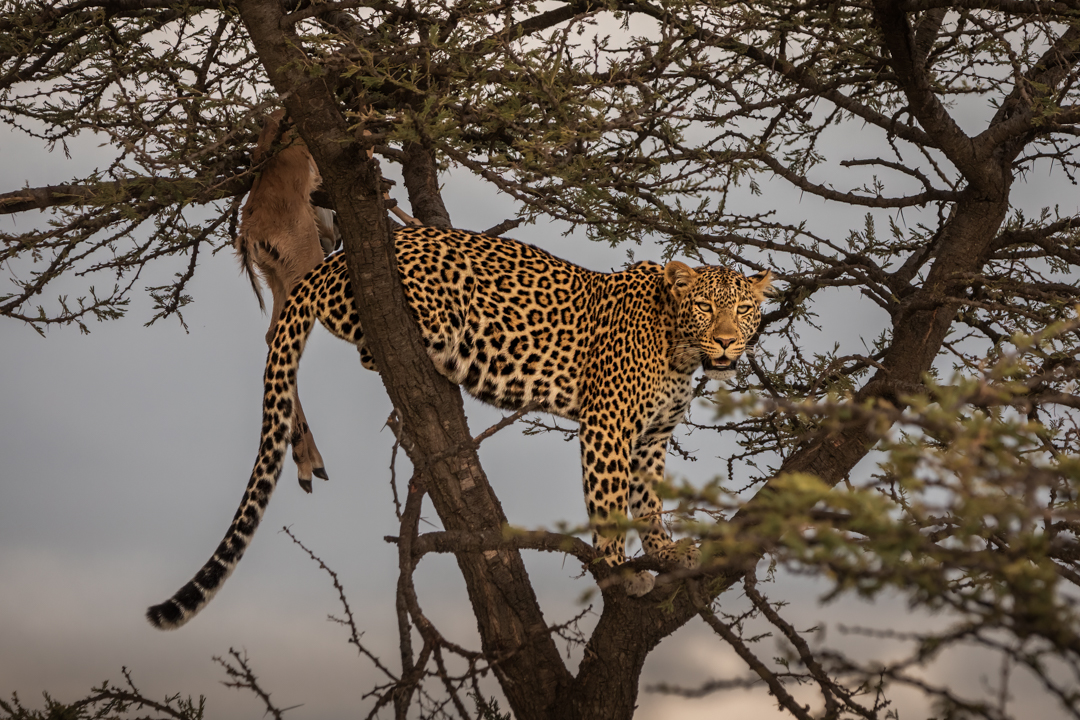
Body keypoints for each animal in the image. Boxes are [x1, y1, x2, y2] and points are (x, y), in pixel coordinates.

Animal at [147, 226, 773, 630]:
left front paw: (666, 552)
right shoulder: (608, 427)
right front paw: (619, 573)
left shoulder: (650, 438)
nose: (726, 342)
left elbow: (647, 501)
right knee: (378, 347)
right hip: (423, 297)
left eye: (743, 311)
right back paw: (448, 357)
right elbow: (610, 505)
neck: (681, 351)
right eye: (705, 306)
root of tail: (331, 260)